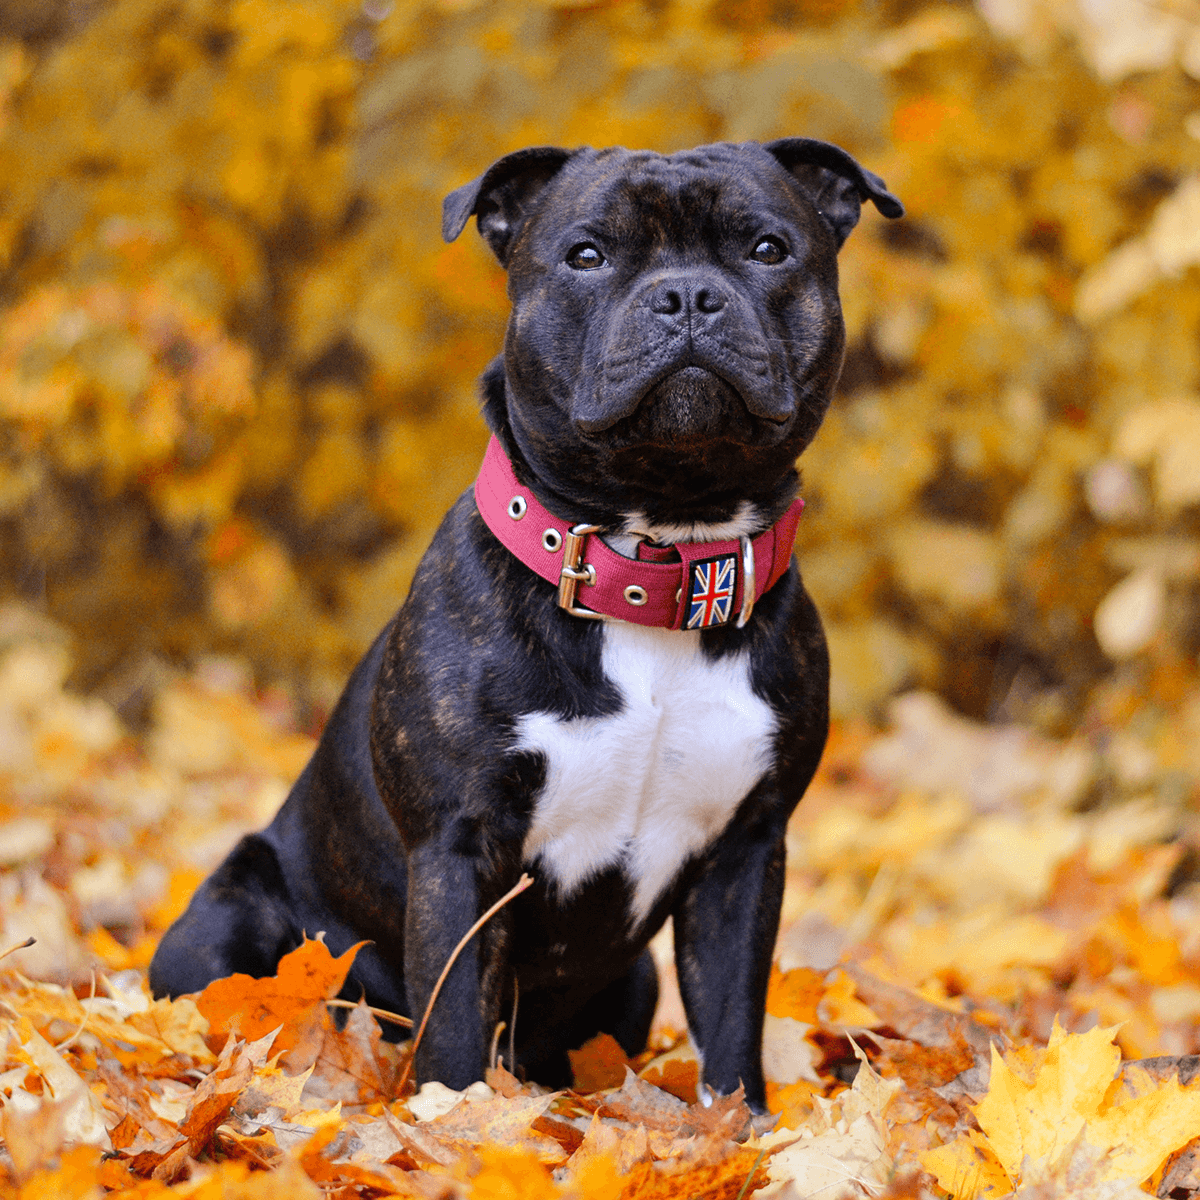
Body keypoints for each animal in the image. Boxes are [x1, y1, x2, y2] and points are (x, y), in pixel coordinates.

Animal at [150, 136, 902, 1108]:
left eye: (769, 250)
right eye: (586, 255)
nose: (687, 295)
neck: (655, 562)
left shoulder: (744, 854)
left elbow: (732, 1034)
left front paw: (745, 1129)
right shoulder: (459, 850)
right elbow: (456, 1032)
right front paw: (456, 1125)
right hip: (226, 922)